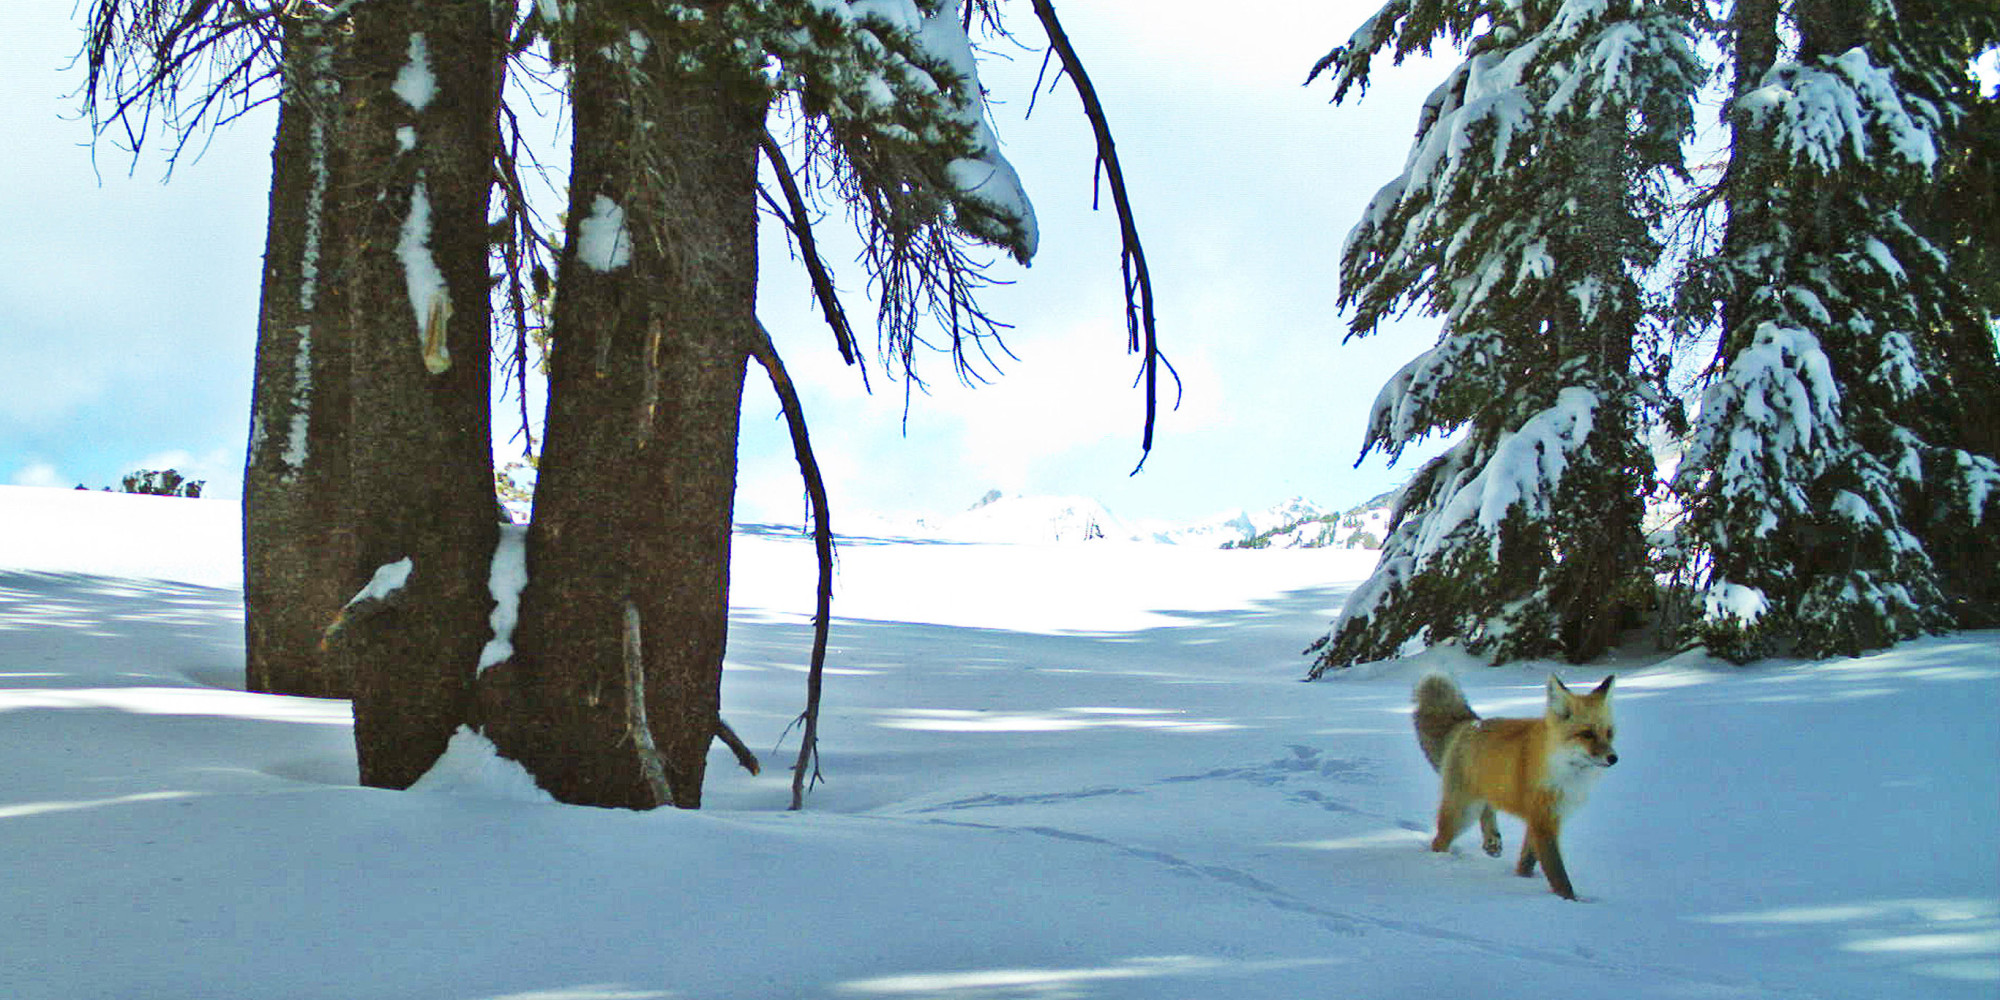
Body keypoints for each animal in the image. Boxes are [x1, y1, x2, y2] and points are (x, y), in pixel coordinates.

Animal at [1416, 672, 1616, 900]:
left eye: (1609, 733)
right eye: (1587, 734)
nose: (1614, 758)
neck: (1565, 773)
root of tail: (1470, 723)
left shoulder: (1545, 817)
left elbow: (1527, 861)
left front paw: (1522, 879)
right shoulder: (1543, 821)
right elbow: (1558, 874)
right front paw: (1570, 901)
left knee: (1487, 808)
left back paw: (1491, 841)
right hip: (1463, 812)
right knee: (1439, 841)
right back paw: (1441, 863)